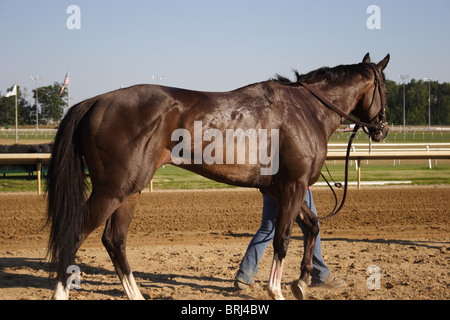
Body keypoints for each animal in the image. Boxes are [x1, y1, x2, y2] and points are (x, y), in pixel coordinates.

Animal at [46, 53, 390, 300]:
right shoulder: (293, 186)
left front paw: (303, 281)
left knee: (114, 240)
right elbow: (282, 238)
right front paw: (277, 289)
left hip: (131, 191)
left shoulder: (278, 189)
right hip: (112, 190)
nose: (382, 130)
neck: (305, 110)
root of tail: (95, 101)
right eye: (385, 87)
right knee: (74, 234)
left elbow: (312, 225)